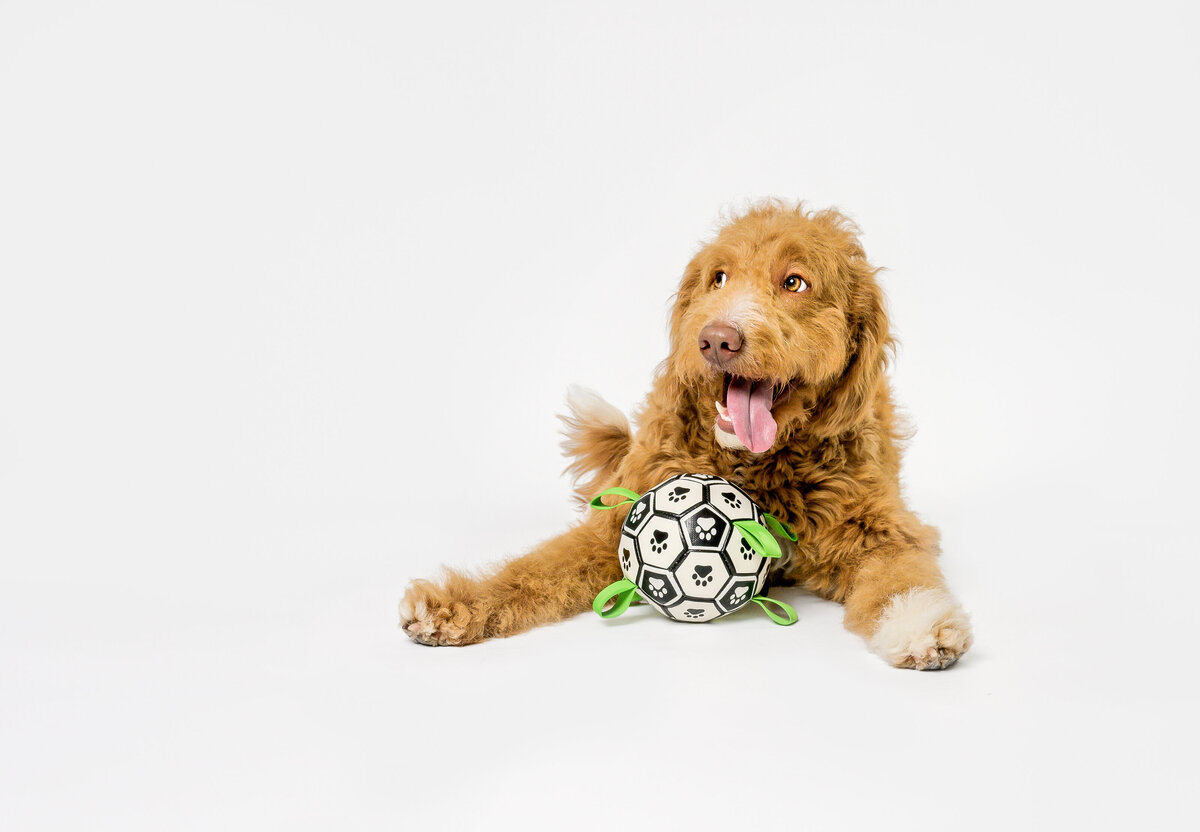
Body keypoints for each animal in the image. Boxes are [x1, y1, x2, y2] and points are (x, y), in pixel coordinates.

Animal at [403, 201, 974, 667]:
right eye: (718, 278)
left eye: (795, 282)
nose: (717, 339)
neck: (760, 465)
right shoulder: (618, 525)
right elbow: (532, 571)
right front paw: (459, 604)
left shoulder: (880, 529)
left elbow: (900, 578)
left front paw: (919, 624)